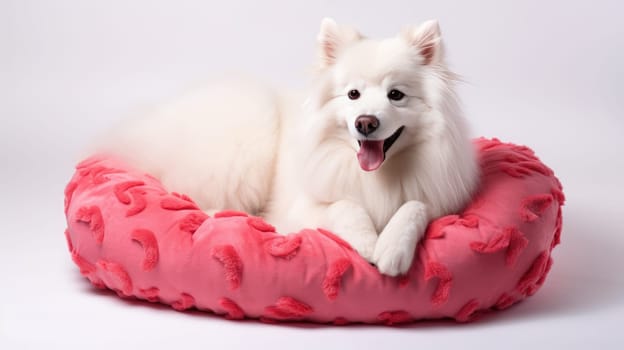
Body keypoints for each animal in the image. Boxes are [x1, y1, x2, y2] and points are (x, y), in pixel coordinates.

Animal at [96, 18, 478, 276]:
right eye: (353, 94)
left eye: (396, 95)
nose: (365, 123)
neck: (376, 176)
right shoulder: (304, 209)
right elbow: (345, 206)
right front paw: (368, 242)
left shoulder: (441, 200)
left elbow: (414, 206)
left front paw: (393, 248)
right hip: (248, 133)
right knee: (191, 195)